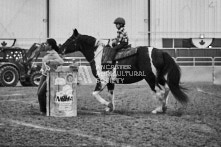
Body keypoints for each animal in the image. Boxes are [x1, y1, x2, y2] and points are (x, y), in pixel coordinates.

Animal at [59, 29, 187, 113]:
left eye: (70, 40)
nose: (60, 48)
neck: (98, 55)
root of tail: (160, 52)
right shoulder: (110, 82)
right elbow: (110, 95)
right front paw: (110, 108)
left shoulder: (102, 80)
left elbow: (95, 94)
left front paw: (108, 105)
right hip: (159, 78)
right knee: (167, 89)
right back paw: (163, 108)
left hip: (151, 79)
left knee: (160, 92)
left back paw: (158, 109)